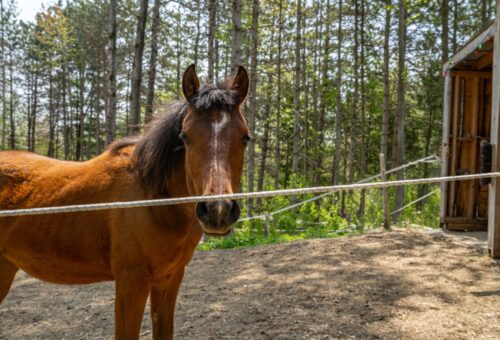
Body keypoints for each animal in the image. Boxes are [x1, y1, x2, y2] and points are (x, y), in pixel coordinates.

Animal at [0, 64, 250, 340]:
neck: (153, 199)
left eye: (245, 138)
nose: (218, 211)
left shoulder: (169, 278)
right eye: (185, 137)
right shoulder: (131, 282)